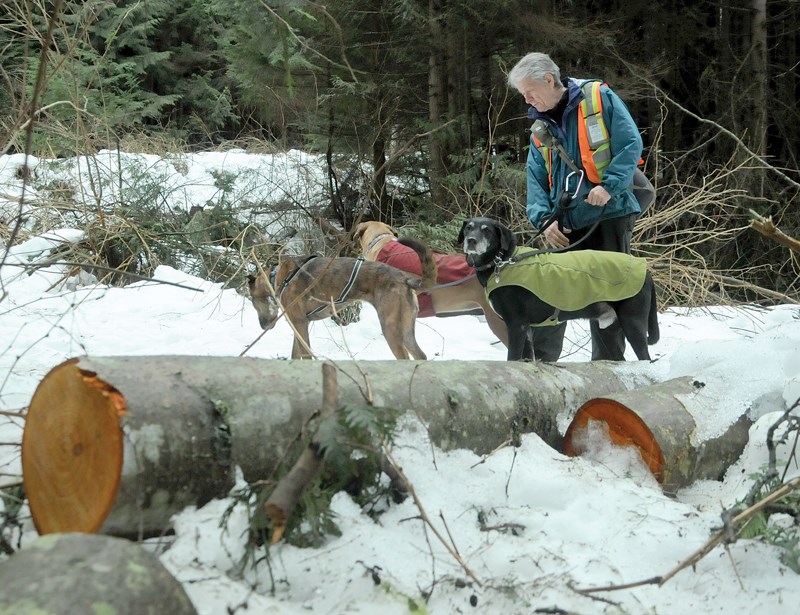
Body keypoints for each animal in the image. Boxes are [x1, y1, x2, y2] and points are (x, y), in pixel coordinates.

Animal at [460, 217, 660, 360]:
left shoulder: (516, 325)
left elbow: (513, 358)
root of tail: (645, 271)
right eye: (469, 227)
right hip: (609, 330)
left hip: (632, 324)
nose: (471, 241)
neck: (501, 262)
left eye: (486, 231)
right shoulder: (526, 329)